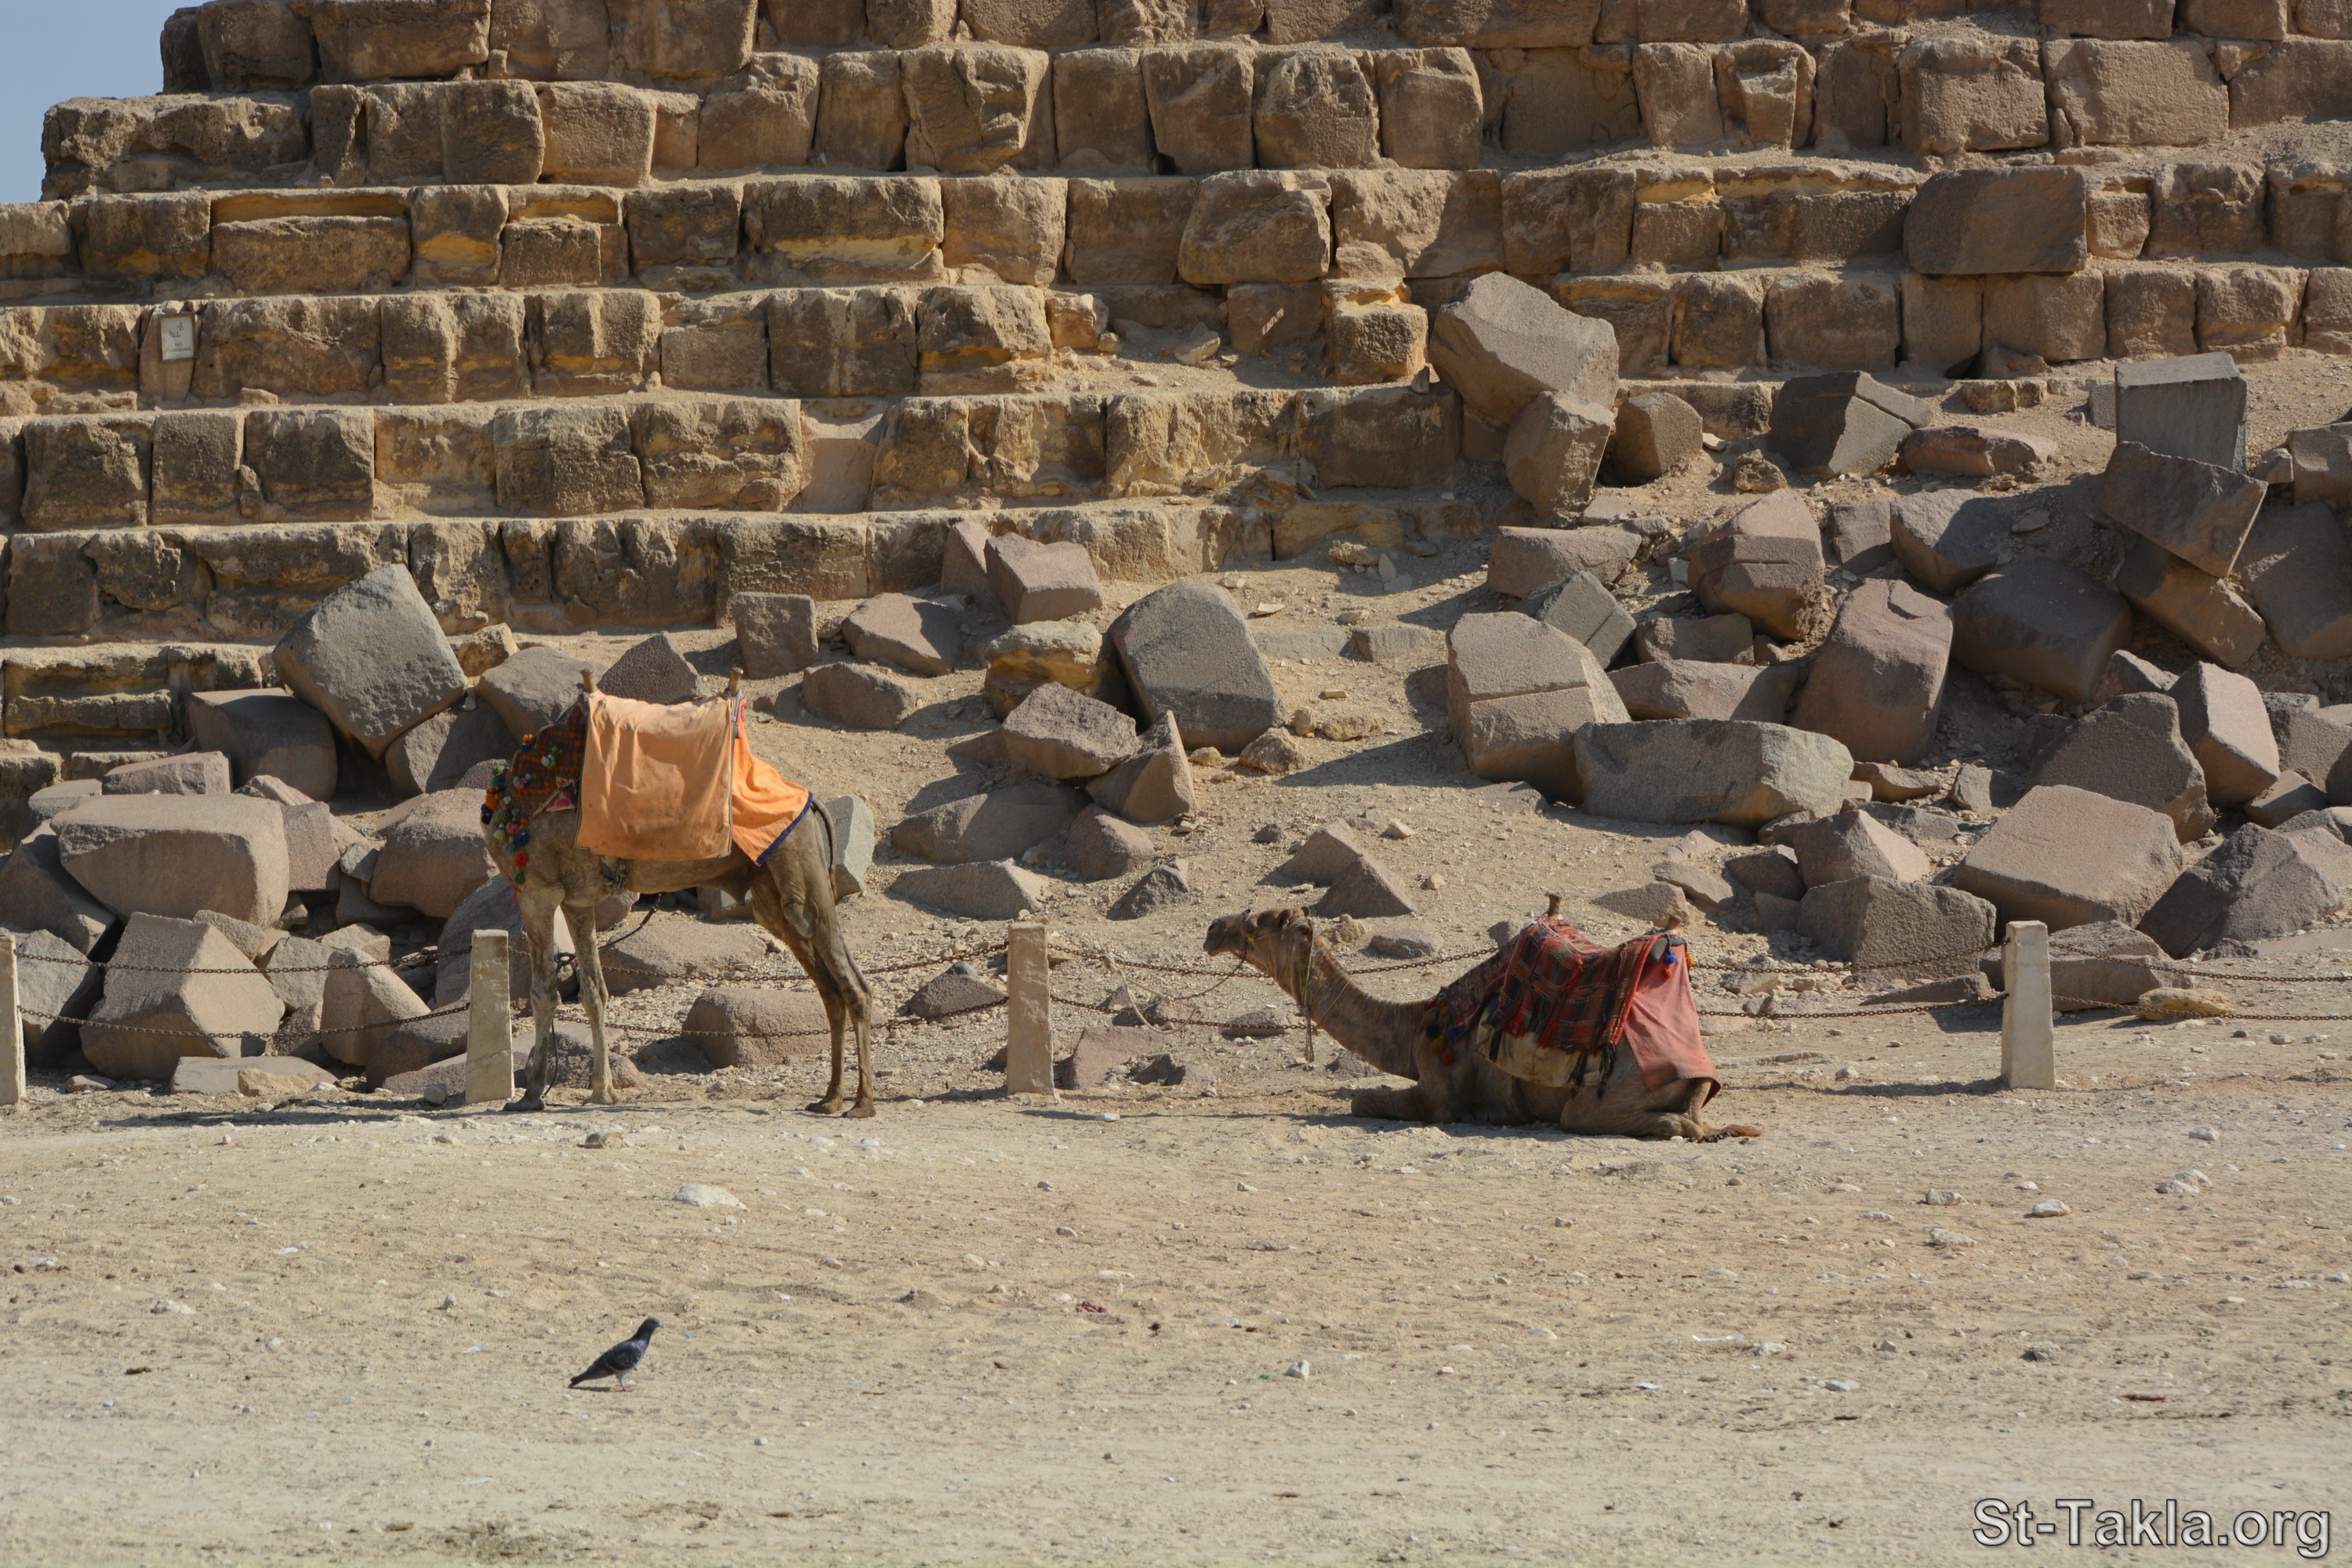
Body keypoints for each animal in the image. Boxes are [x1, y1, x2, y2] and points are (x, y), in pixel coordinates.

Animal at [483, 672, 876, 1117]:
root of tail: (811, 804)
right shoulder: (577, 901)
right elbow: (594, 992)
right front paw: (602, 1091)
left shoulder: (537, 889)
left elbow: (543, 993)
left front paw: (531, 1094)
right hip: (770, 895)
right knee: (829, 988)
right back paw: (829, 1097)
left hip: (800, 871)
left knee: (852, 983)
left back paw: (862, 1102)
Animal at [1204, 906, 1760, 1140]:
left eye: (1257, 925)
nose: (1213, 928)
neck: (1417, 1024)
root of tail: (1700, 1070)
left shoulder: (1439, 1093)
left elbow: (1365, 1100)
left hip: (1610, 1088)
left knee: (1613, 1118)